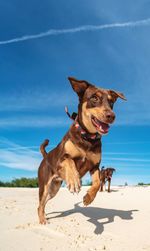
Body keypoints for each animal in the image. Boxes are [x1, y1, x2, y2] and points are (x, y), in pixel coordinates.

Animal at [37, 76, 126, 224]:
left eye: (111, 102)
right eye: (94, 98)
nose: (111, 116)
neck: (87, 137)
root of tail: (46, 156)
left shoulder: (95, 166)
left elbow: (97, 183)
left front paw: (88, 198)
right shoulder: (62, 158)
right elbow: (69, 160)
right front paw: (74, 181)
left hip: (54, 188)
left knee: (43, 203)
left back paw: (45, 215)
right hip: (44, 186)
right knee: (40, 203)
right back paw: (42, 220)